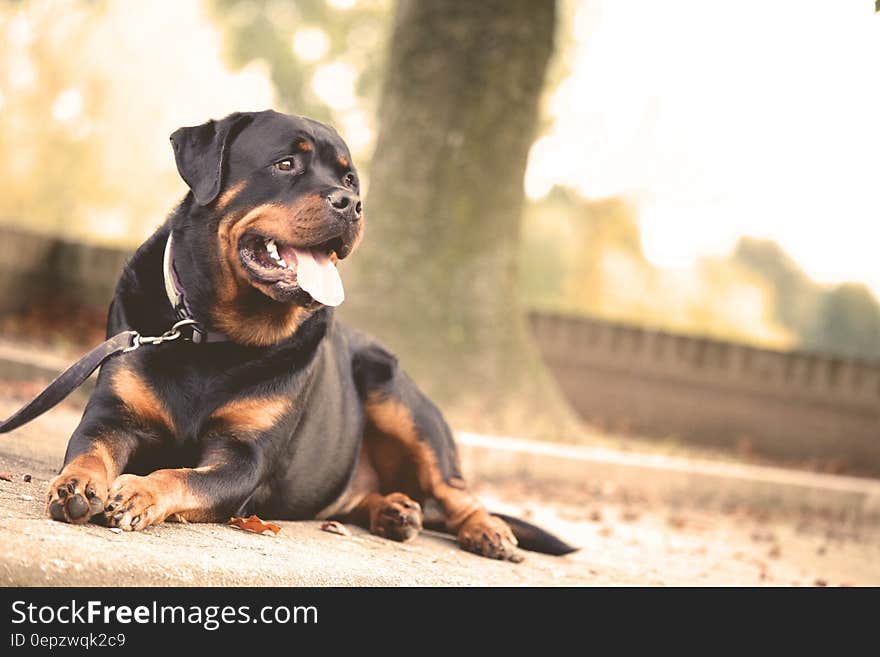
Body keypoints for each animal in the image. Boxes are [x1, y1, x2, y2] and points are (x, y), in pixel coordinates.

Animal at [44, 110, 576, 560]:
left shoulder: (244, 459)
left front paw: (138, 489)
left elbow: (181, 475)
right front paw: (77, 486)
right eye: (285, 164)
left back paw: (486, 530)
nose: (352, 203)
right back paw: (394, 510)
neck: (210, 334)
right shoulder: (113, 415)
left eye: (349, 179)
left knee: (455, 490)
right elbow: (89, 448)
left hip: (397, 396)